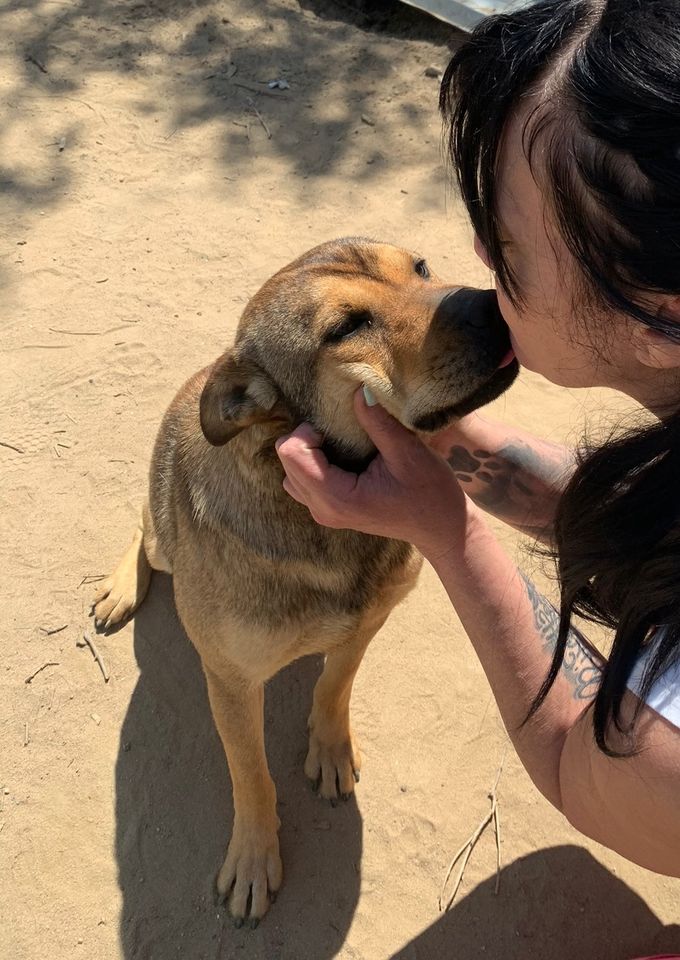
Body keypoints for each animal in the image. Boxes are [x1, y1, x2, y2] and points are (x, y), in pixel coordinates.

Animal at [93, 238, 516, 924]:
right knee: (143, 525)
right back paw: (120, 587)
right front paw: (254, 857)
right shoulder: (231, 681)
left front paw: (331, 748)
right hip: (161, 540)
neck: (322, 526)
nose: (497, 307)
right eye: (345, 328)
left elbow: (335, 683)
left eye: (421, 267)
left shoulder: (368, 620)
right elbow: (250, 775)